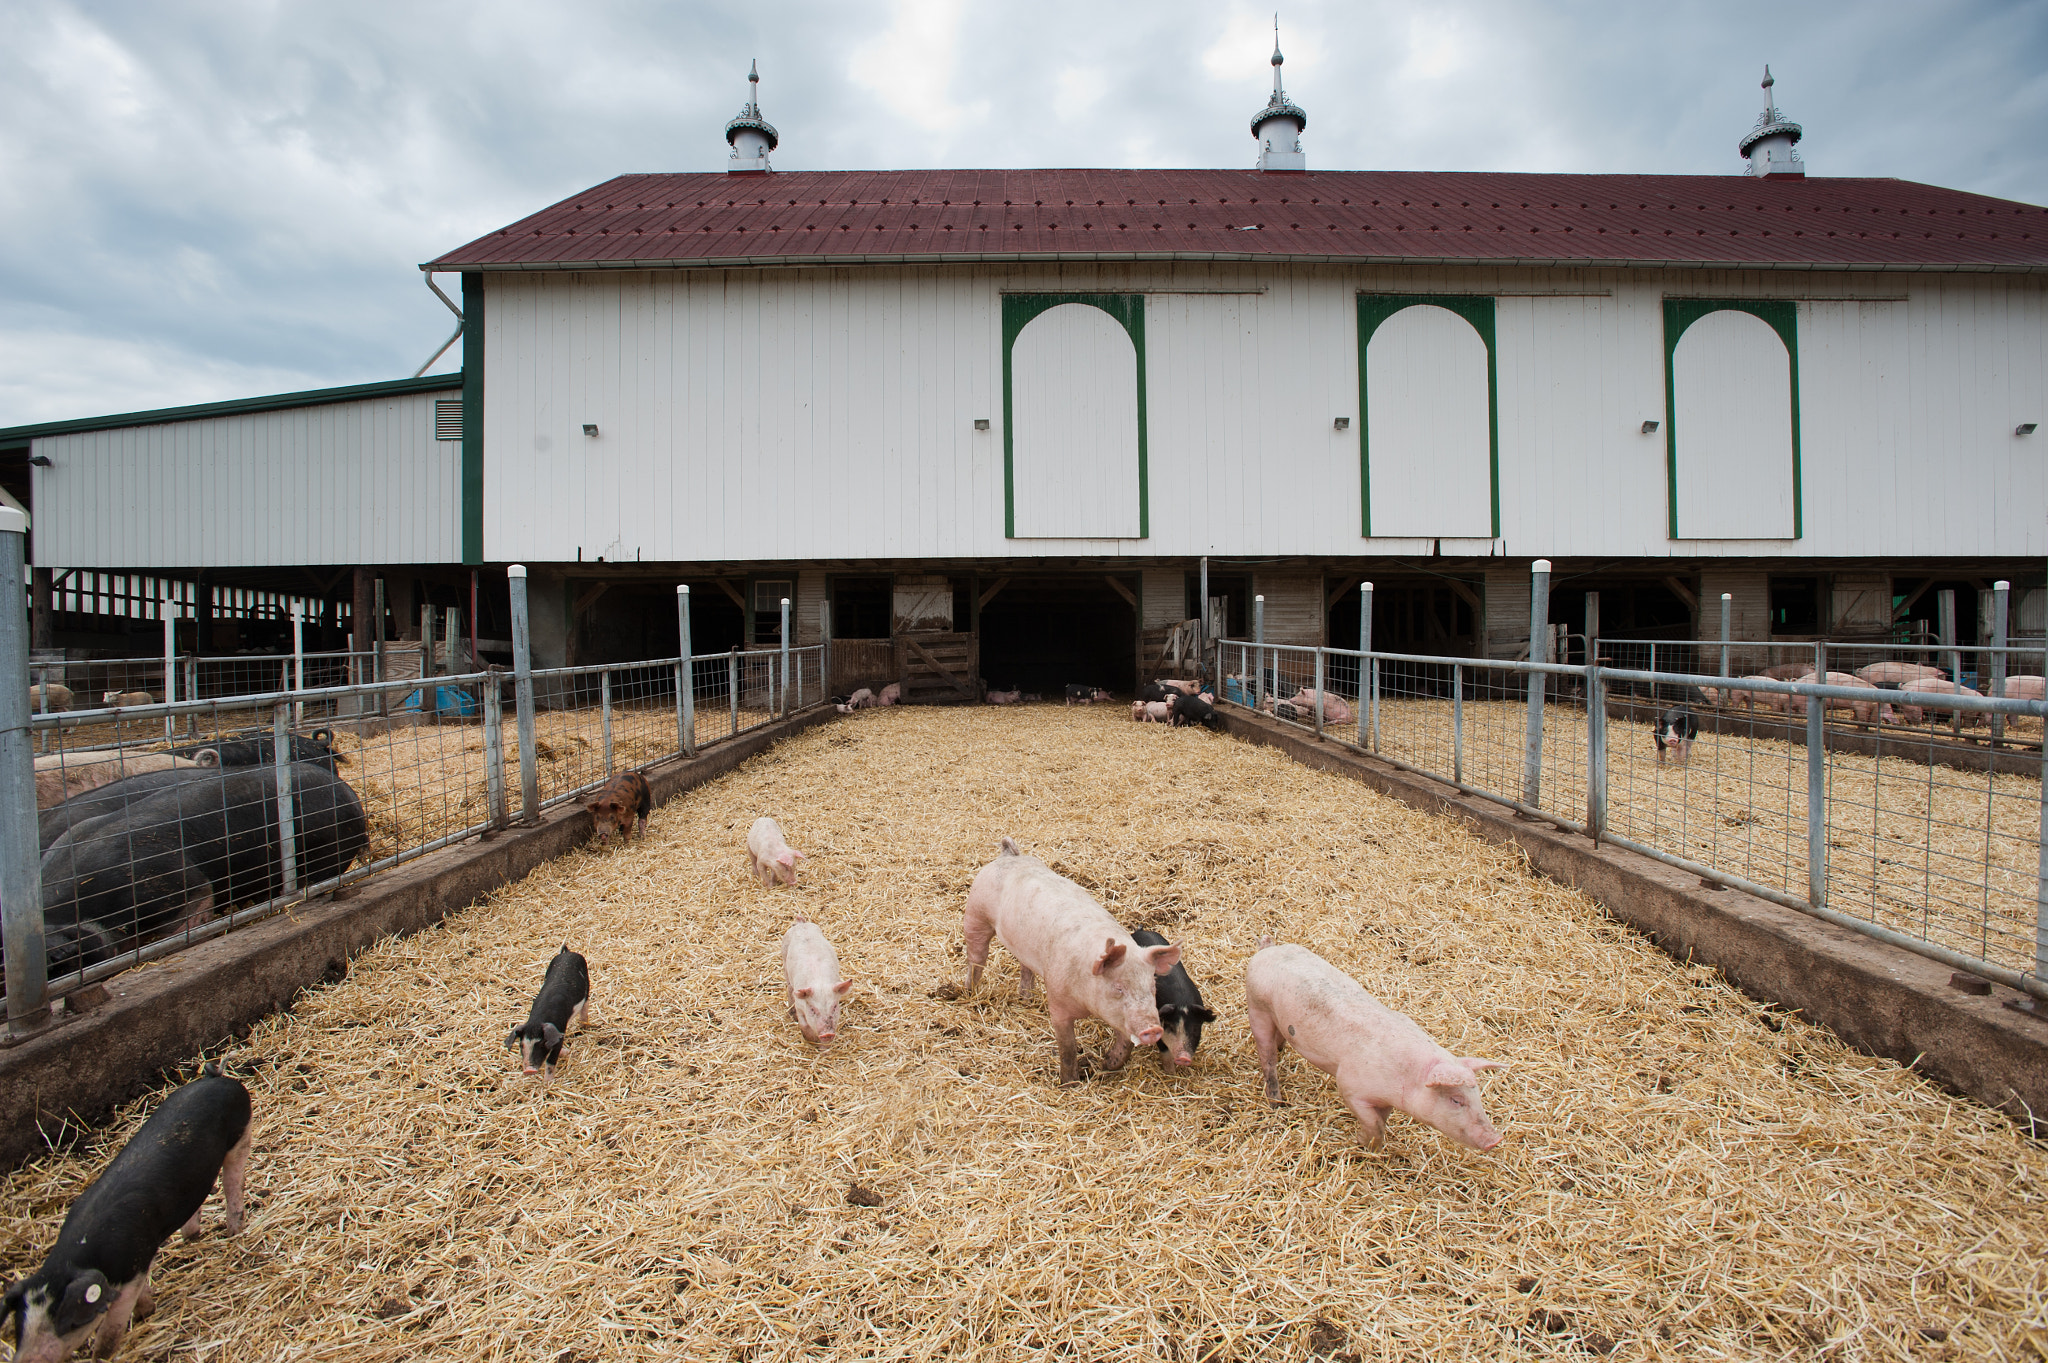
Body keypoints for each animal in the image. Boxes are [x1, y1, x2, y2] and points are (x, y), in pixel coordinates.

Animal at [962, 826, 1187, 1080]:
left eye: (1152, 987)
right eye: (1119, 988)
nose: (1154, 1028)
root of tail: (1008, 855)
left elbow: (1125, 1042)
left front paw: (1107, 1064)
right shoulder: (1057, 998)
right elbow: (1068, 1047)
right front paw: (1070, 1082)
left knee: (1024, 964)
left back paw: (1026, 997)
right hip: (975, 914)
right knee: (976, 957)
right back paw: (969, 991)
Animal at [1228, 941, 1507, 1154]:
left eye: (1477, 1094)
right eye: (1456, 1100)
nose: (1496, 1140)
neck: (1407, 1076)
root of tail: (1268, 948)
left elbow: (1383, 1119)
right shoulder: (1351, 1086)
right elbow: (1374, 1123)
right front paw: (1364, 1144)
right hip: (1257, 1008)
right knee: (1267, 1058)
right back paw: (1277, 1102)